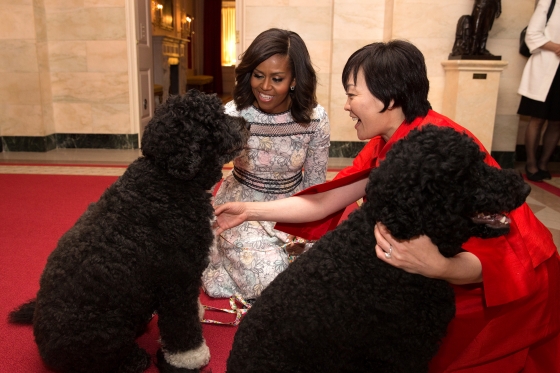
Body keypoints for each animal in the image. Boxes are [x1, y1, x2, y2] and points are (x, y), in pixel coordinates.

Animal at [8, 90, 249, 372]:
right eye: (215, 120)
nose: (247, 124)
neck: (167, 180)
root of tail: (45, 350)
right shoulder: (176, 279)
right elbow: (181, 326)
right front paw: (191, 357)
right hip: (106, 331)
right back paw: (134, 358)